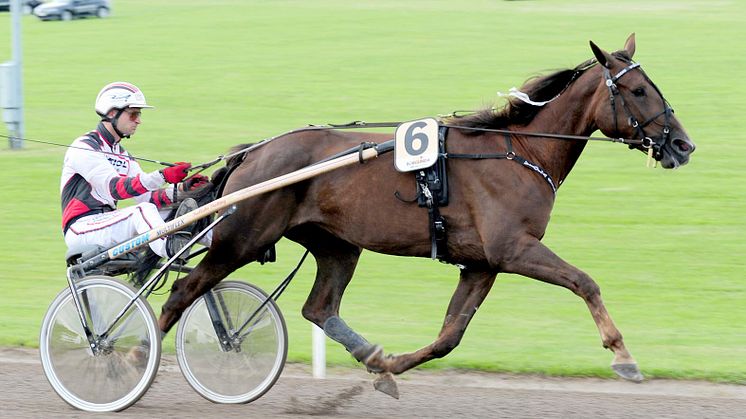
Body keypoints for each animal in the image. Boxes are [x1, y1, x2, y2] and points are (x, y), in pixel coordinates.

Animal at [155, 34, 692, 396]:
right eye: (639, 91)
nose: (684, 145)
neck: (520, 151)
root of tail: (252, 152)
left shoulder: (482, 262)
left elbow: (449, 336)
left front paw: (388, 366)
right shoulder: (513, 249)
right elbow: (585, 282)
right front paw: (623, 357)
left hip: (336, 244)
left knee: (319, 308)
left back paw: (369, 352)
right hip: (239, 239)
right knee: (181, 293)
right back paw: (138, 355)